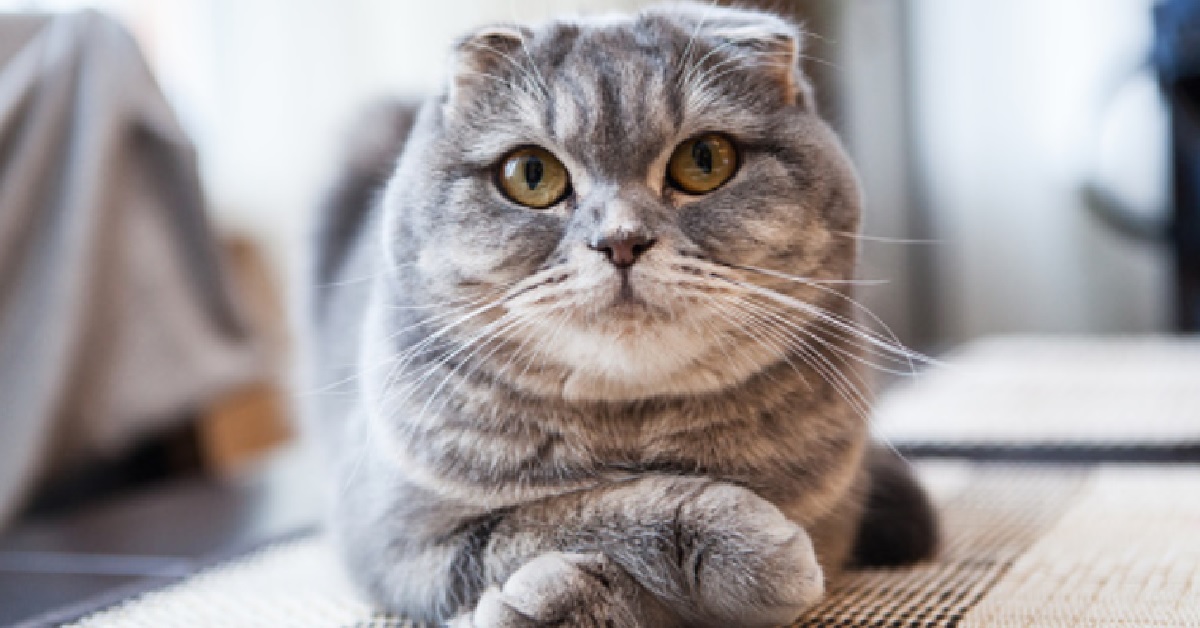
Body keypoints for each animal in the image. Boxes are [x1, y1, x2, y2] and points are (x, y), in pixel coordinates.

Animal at [304, 6, 940, 628]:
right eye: (530, 173)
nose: (622, 241)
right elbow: (553, 516)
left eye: (705, 160)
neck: (629, 437)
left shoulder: (832, 514)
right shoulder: (394, 540)